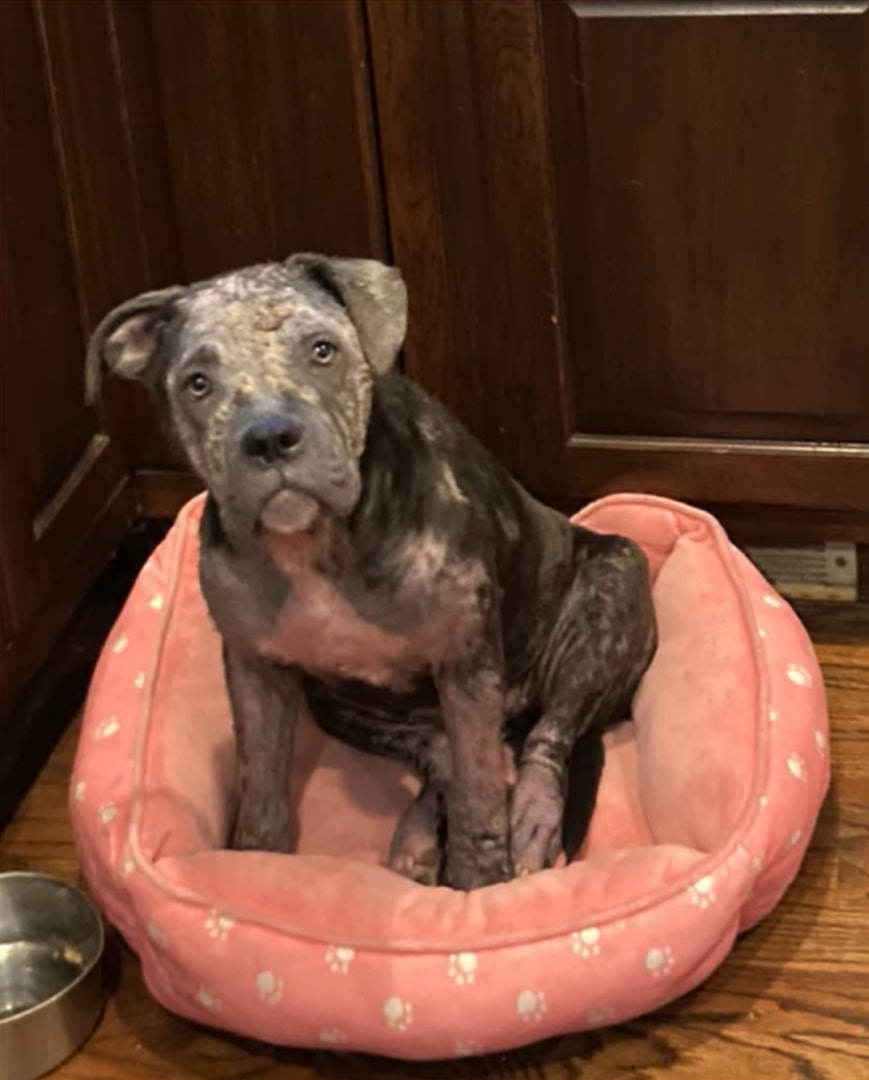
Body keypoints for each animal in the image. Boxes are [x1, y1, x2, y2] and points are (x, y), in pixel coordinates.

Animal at [89, 257, 656, 889]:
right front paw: (257, 869)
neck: (317, 544)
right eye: (196, 382)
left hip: (612, 594)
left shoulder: (466, 660)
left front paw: (477, 883)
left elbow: (480, 797)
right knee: (442, 755)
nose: (268, 437)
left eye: (322, 350)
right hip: (340, 704)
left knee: (547, 737)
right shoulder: (255, 670)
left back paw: (530, 816)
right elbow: (261, 792)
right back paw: (418, 835)